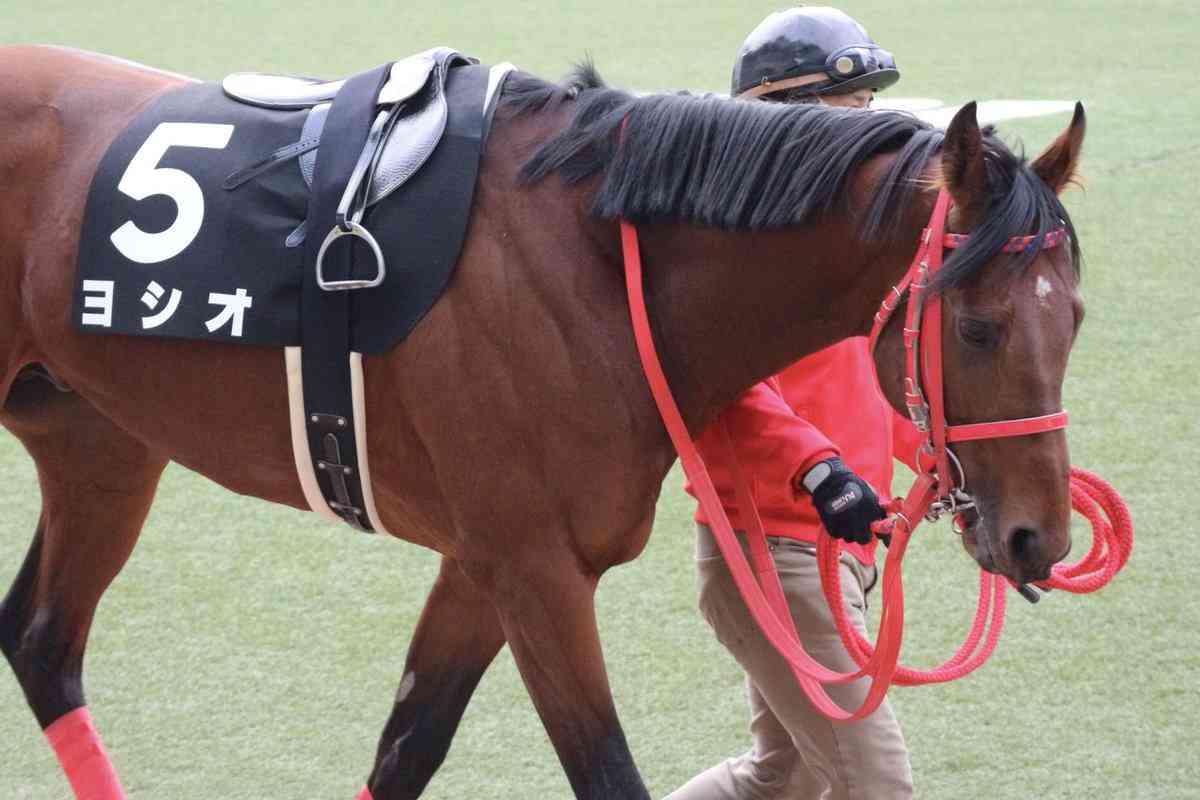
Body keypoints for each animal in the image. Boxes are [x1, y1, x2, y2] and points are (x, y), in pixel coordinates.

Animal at [0, 46, 1085, 799]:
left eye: (1074, 315)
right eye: (979, 327)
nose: (1039, 536)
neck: (595, 261)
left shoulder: (486, 563)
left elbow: (408, 745)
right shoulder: (534, 569)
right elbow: (604, 770)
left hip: (98, 436)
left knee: (43, 639)